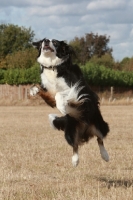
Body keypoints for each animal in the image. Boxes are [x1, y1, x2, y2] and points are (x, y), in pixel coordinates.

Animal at [29, 38, 109, 166]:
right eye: (42, 41)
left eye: (55, 42)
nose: (46, 41)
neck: (52, 66)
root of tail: (86, 131)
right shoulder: (50, 93)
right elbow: (45, 91)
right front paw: (34, 90)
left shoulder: (80, 89)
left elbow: (60, 94)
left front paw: (62, 107)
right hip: (70, 132)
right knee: (75, 145)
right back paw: (75, 161)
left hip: (100, 125)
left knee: (100, 139)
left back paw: (105, 155)